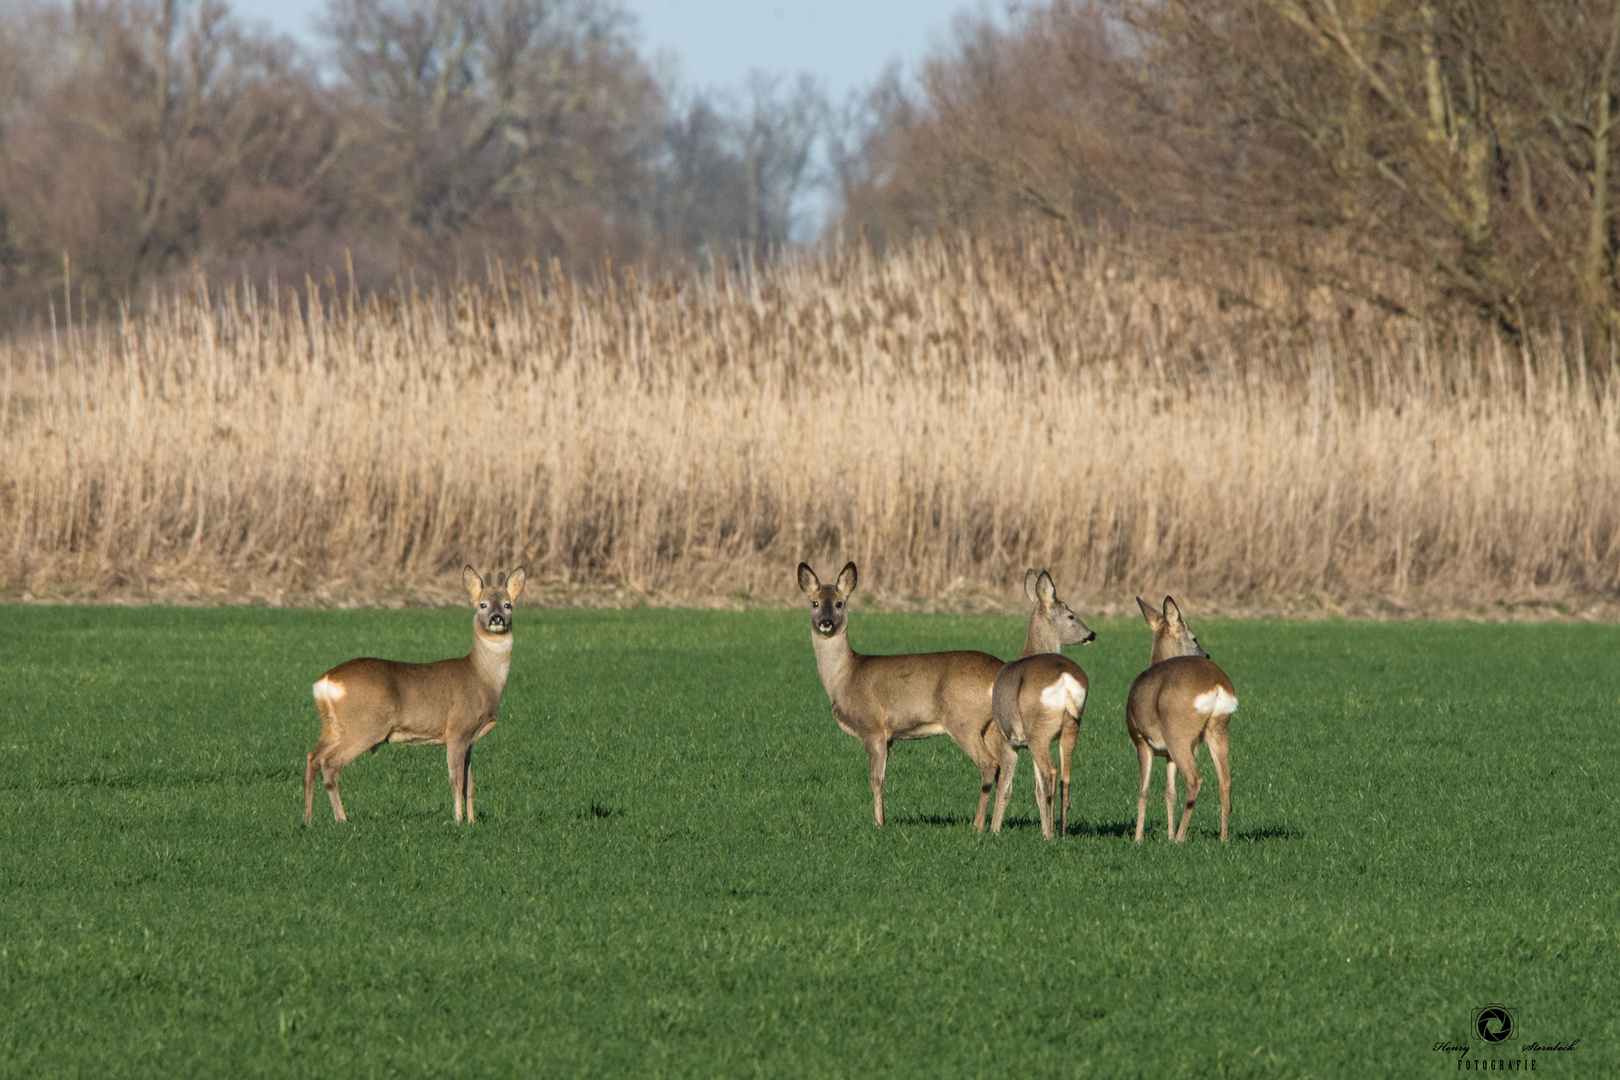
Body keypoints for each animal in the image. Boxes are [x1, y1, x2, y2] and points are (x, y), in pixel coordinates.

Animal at [301, 566, 528, 829]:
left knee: (313, 757)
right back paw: (342, 819)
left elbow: (469, 784)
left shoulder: (470, 738)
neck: (481, 677)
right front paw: (457, 821)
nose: (497, 618)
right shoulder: (457, 730)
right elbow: (456, 781)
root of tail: (325, 682)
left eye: (508, 605)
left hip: (333, 727)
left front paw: (471, 821)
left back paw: (307, 818)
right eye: (482, 605)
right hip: (365, 726)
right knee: (330, 764)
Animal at [790, 563, 1004, 835]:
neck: (845, 676)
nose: (826, 623)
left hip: (964, 721)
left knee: (988, 765)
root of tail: (1000, 670)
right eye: (815, 603)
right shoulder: (890, 736)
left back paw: (977, 826)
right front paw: (882, 819)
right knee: (1004, 767)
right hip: (991, 727)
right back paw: (994, 826)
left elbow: (876, 779)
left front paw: (879, 823)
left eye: (839, 603)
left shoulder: (873, 727)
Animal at [984, 569, 1101, 841]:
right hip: (1071, 726)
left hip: (1038, 729)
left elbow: (1005, 787)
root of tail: (1065, 679)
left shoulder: (1008, 738)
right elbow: (1036, 790)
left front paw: (994, 830)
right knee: (1066, 776)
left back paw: (1051, 834)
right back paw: (1060, 832)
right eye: (1071, 615)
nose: (1091, 634)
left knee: (1052, 772)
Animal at [1127, 599, 1237, 841]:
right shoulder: (1167, 755)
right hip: (1219, 729)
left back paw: (1180, 838)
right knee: (1225, 781)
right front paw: (1167, 836)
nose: (1206, 654)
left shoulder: (1141, 740)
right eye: (1194, 638)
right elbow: (1170, 793)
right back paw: (1223, 839)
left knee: (1195, 779)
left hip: (1178, 733)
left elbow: (1144, 791)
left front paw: (1139, 839)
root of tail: (1216, 685)